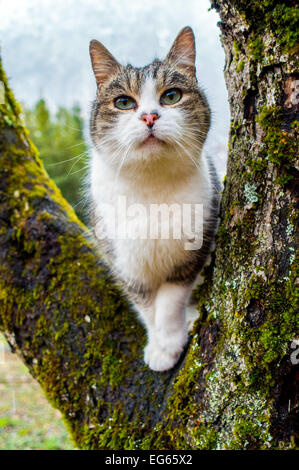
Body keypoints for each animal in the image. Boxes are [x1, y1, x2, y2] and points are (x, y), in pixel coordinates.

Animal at [88, 26, 219, 370]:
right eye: (123, 102)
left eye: (171, 96)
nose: (149, 117)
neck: (151, 187)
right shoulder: (124, 263)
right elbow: (146, 306)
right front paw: (159, 346)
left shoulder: (193, 251)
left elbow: (171, 301)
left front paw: (170, 342)